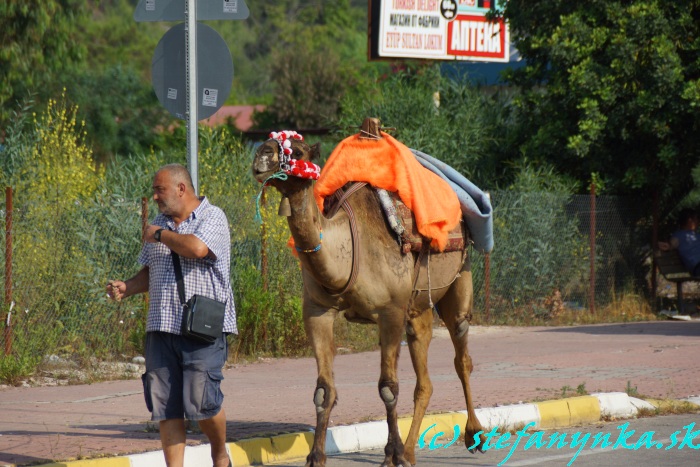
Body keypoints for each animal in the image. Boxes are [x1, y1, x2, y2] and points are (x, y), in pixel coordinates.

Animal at [252, 124, 486, 467]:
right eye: (270, 141)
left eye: (299, 151)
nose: (262, 154)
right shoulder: (317, 311)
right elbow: (323, 390)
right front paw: (316, 457)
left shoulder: (390, 311)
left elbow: (388, 388)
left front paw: (392, 454)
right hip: (417, 309)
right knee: (425, 378)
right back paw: (411, 452)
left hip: (460, 276)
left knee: (462, 354)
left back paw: (473, 435)